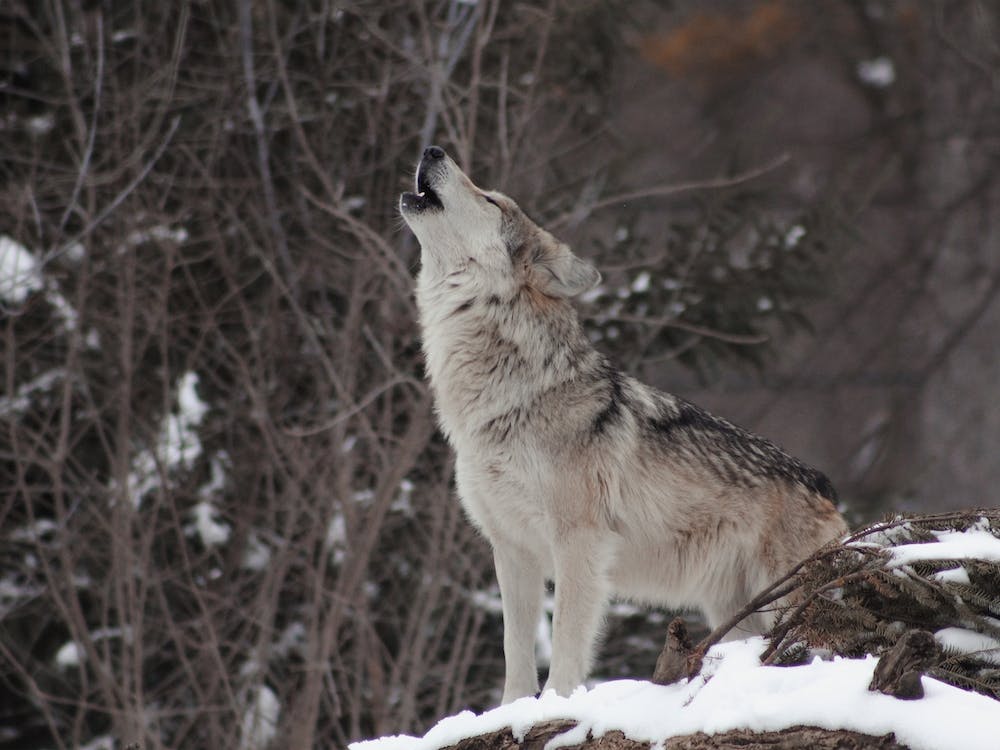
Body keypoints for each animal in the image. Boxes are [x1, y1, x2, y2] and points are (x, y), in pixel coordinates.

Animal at [399, 145, 847, 703]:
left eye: (491, 200)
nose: (432, 149)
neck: (509, 398)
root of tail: (825, 485)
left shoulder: (579, 542)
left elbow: (566, 641)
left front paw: (556, 705)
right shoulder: (512, 549)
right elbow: (515, 652)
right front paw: (512, 711)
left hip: (785, 602)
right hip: (736, 613)